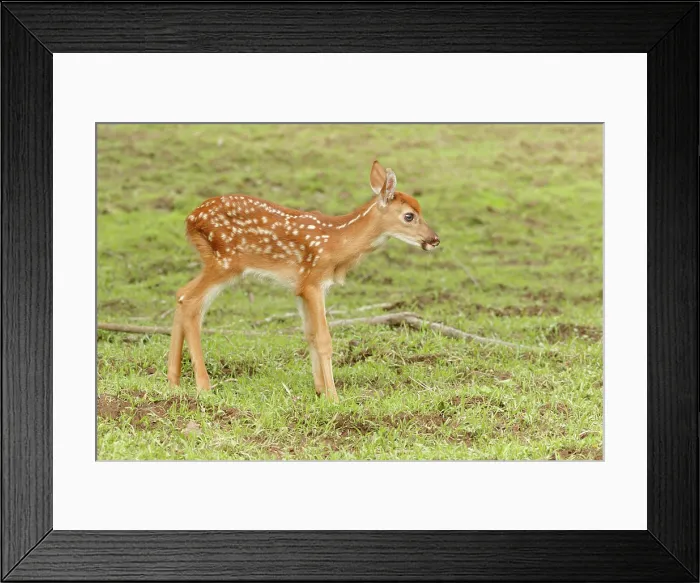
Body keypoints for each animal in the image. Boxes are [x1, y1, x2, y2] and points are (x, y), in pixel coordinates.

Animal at [167, 160, 440, 402]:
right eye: (409, 216)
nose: (434, 239)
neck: (337, 242)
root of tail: (191, 219)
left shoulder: (299, 286)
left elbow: (309, 334)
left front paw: (319, 391)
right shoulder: (313, 281)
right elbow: (324, 339)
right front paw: (334, 398)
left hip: (214, 262)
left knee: (181, 292)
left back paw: (173, 382)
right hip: (225, 262)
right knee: (191, 302)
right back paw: (203, 387)